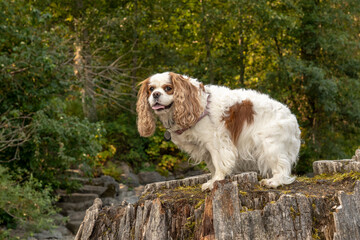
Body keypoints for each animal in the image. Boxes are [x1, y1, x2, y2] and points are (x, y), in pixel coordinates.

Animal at [136, 72, 300, 190]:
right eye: (151, 89)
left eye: (168, 88)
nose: (156, 95)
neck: (195, 104)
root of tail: (292, 118)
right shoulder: (206, 148)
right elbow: (213, 166)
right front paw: (215, 179)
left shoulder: (216, 142)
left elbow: (219, 163)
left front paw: (214, 182)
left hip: (270, 144)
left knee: (282, 166)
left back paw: (274, 182)